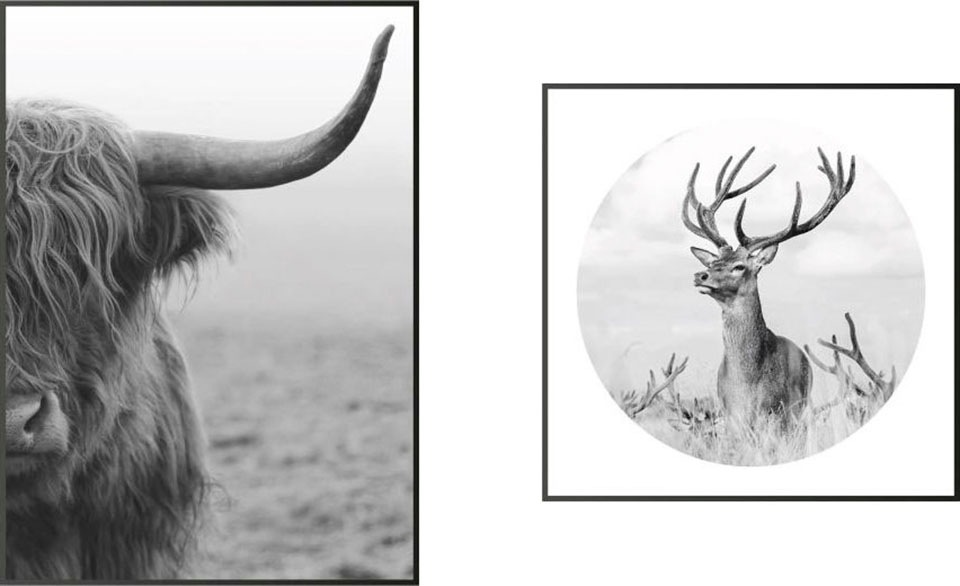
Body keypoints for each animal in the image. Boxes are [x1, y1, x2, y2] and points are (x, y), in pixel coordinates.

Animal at [681, 147, 857, 431]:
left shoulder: (775, 412)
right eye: (713, 262)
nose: (700, 274)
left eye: (739, 266)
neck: (747, 385)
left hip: (799, 408)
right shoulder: (731, 416)